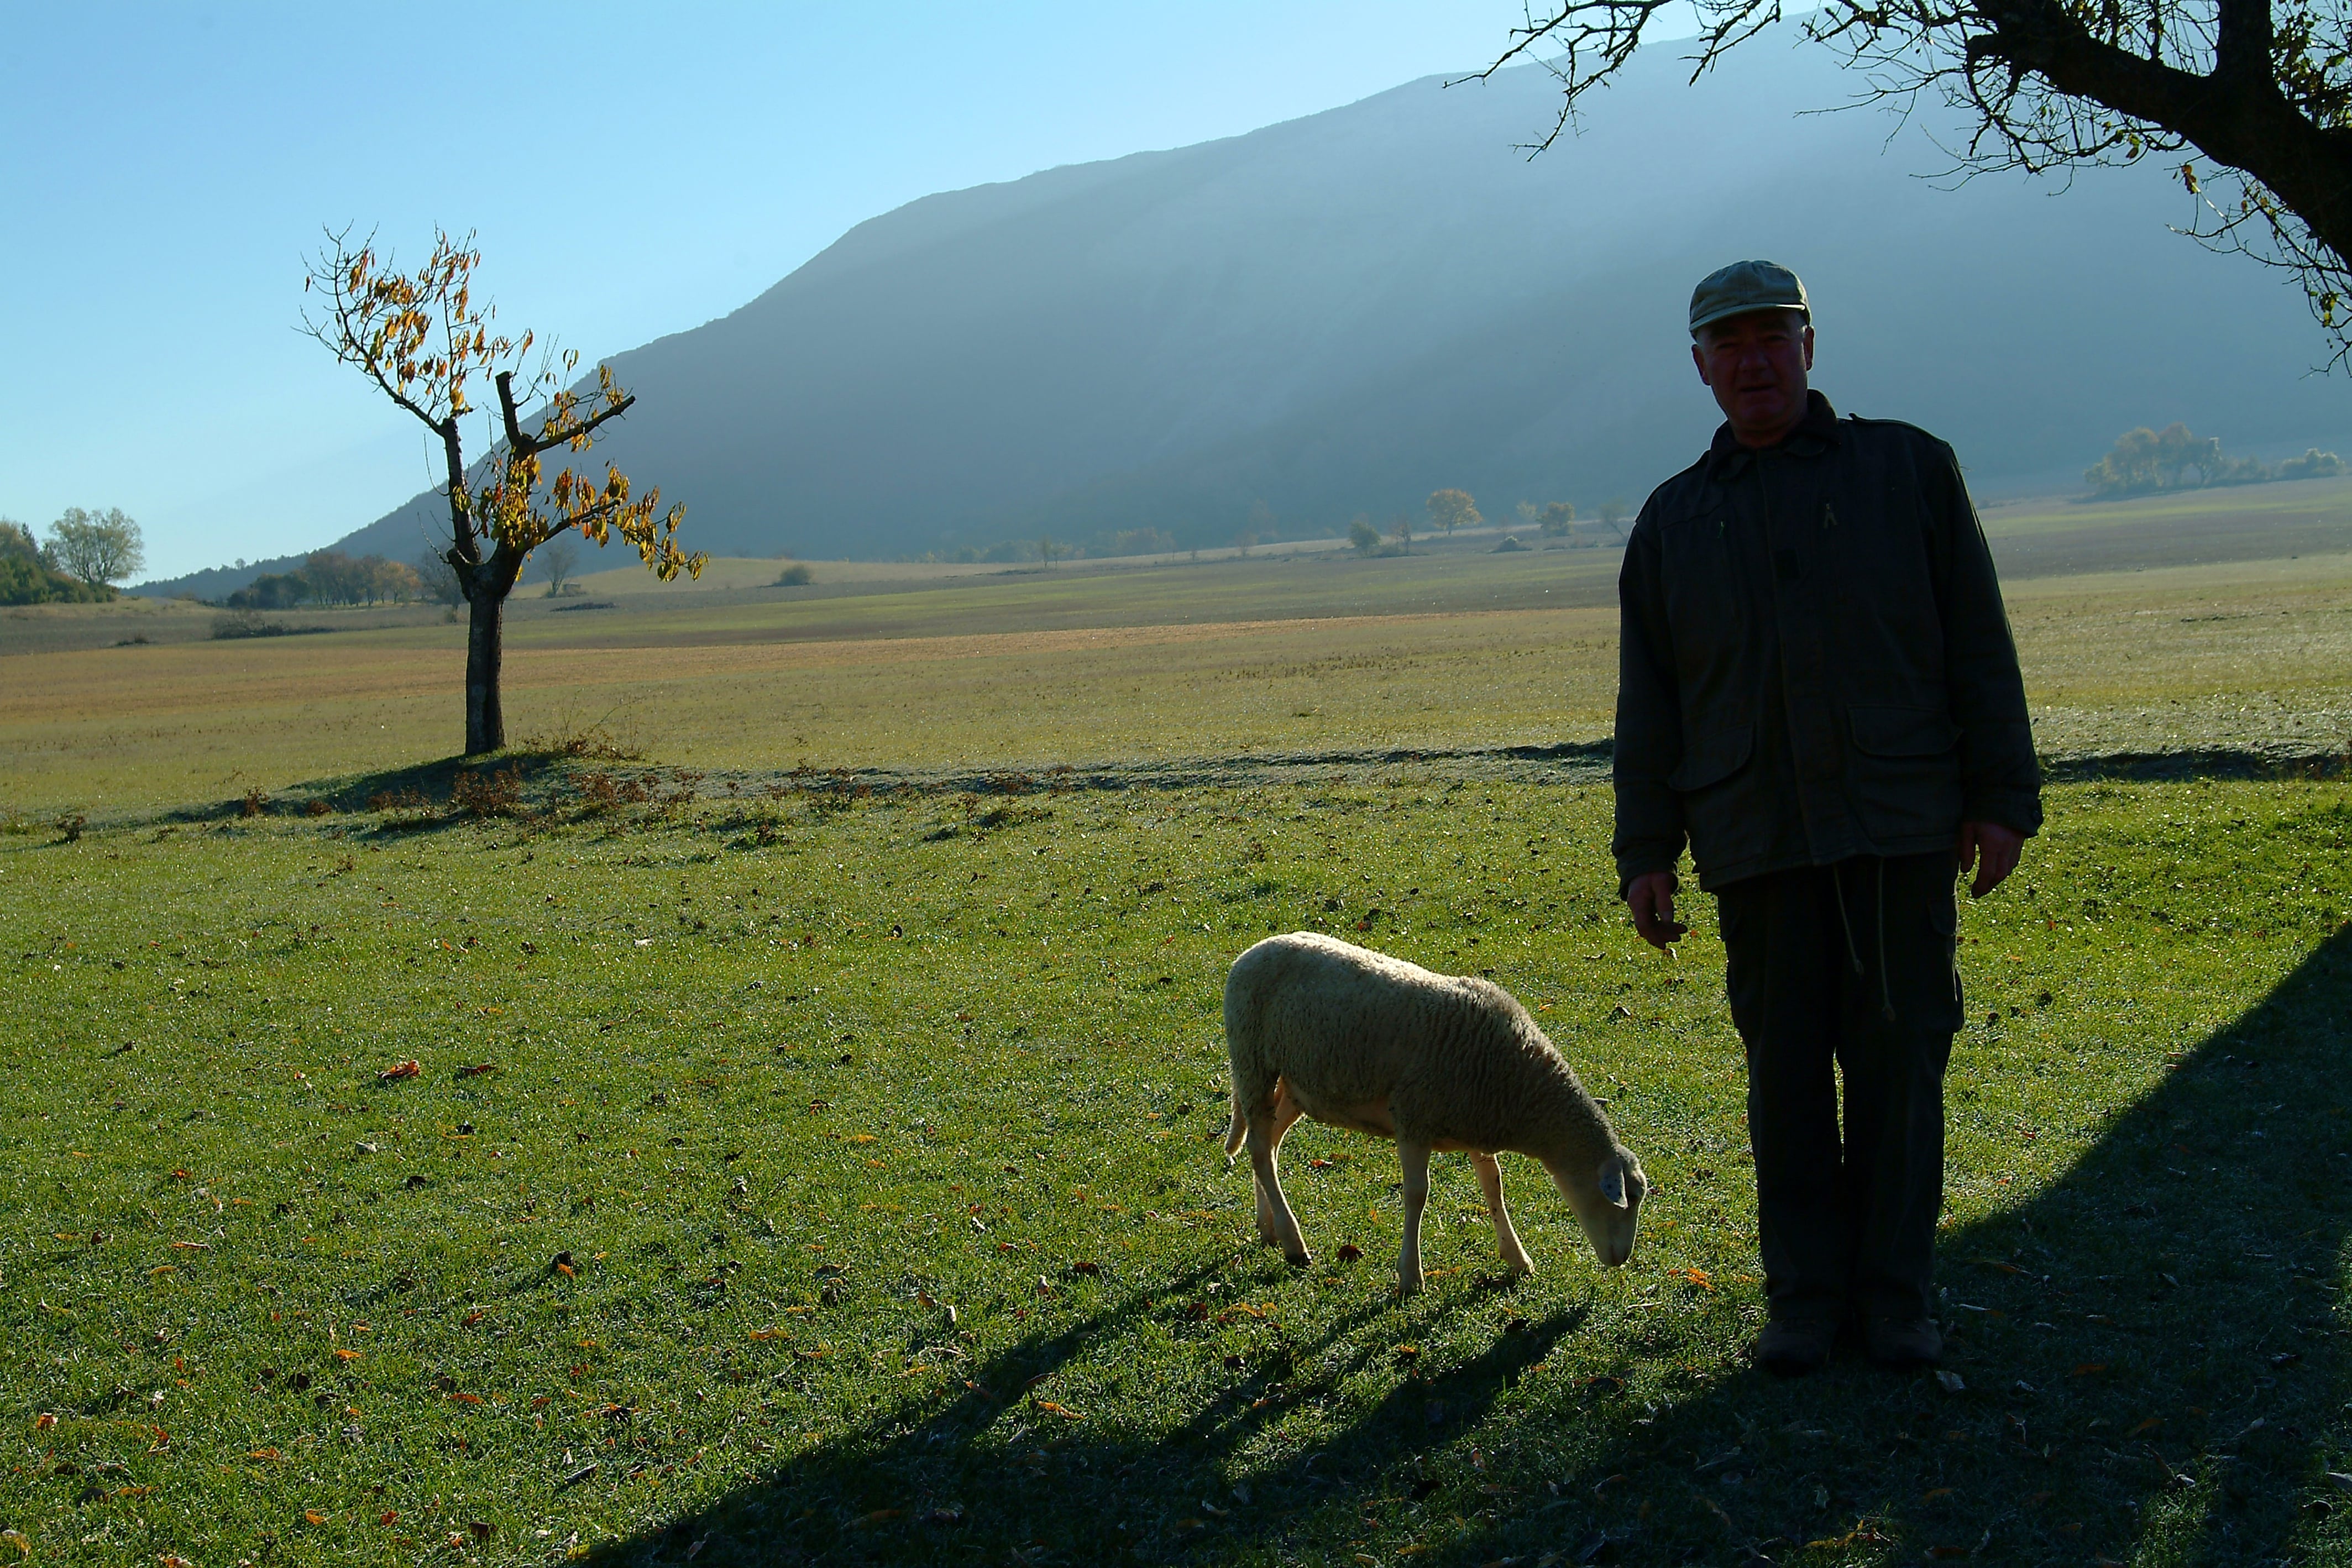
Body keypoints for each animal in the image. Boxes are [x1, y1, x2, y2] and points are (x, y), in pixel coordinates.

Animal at [1223, 940, 1646, 1297]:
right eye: (1624, 1202)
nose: (1621, 1259)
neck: (1517, 1086)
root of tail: (1250, 952)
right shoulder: (1413, 1117)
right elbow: (1417, 1194)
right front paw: (1411, 1276)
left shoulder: (1475, 1122)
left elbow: (1493, 1186)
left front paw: (1516, 1257)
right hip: (1252, 1061)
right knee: (1260, 1151)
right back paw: (1293, 1243)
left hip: (1297, 1084)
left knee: (1269, 1146)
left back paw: (1269, 1227)